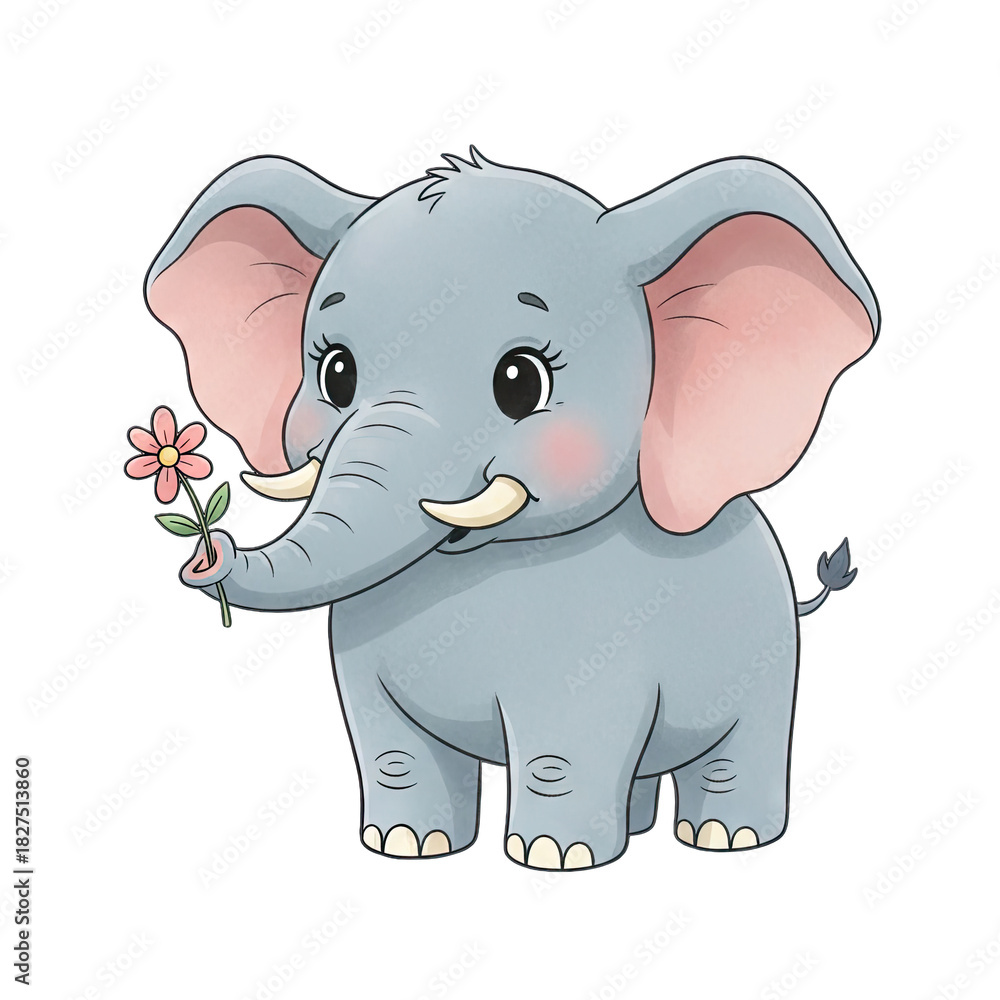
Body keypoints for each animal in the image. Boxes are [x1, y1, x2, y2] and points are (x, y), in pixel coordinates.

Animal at [145, 147, 878, 870]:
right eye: (336, 374)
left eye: (522, 380)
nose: (207, 553)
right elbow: (388, 745)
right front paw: (406, 846)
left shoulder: (599, 641)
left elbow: (568, 739)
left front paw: (554, 857)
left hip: (770, 651)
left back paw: (727, 838)